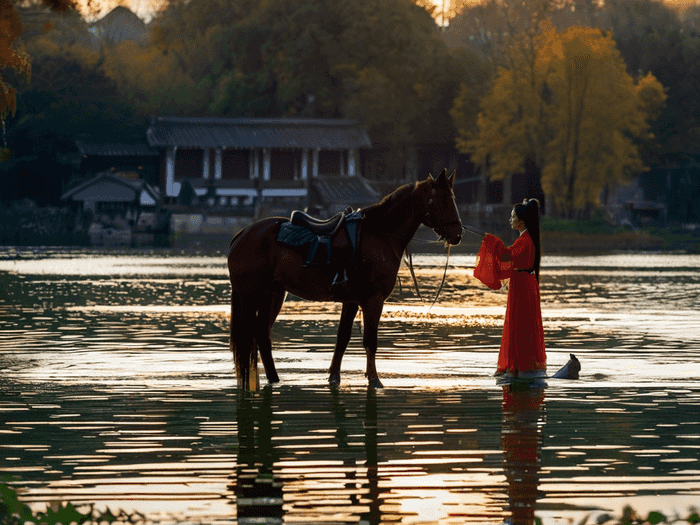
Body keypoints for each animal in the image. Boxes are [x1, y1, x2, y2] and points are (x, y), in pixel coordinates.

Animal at [227, 169, 462, 388]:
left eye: (453, 197)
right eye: (443, 199)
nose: (457, 234)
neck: (379, 235)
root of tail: (242, 233)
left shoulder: (351, 301)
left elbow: (342, 339)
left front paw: (334, 377)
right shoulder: (373, 300)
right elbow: (370, 340)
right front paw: (374, 379)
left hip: (274, 294)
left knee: (262, 334)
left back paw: (274, 379)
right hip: (251, 296)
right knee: (250, 336)